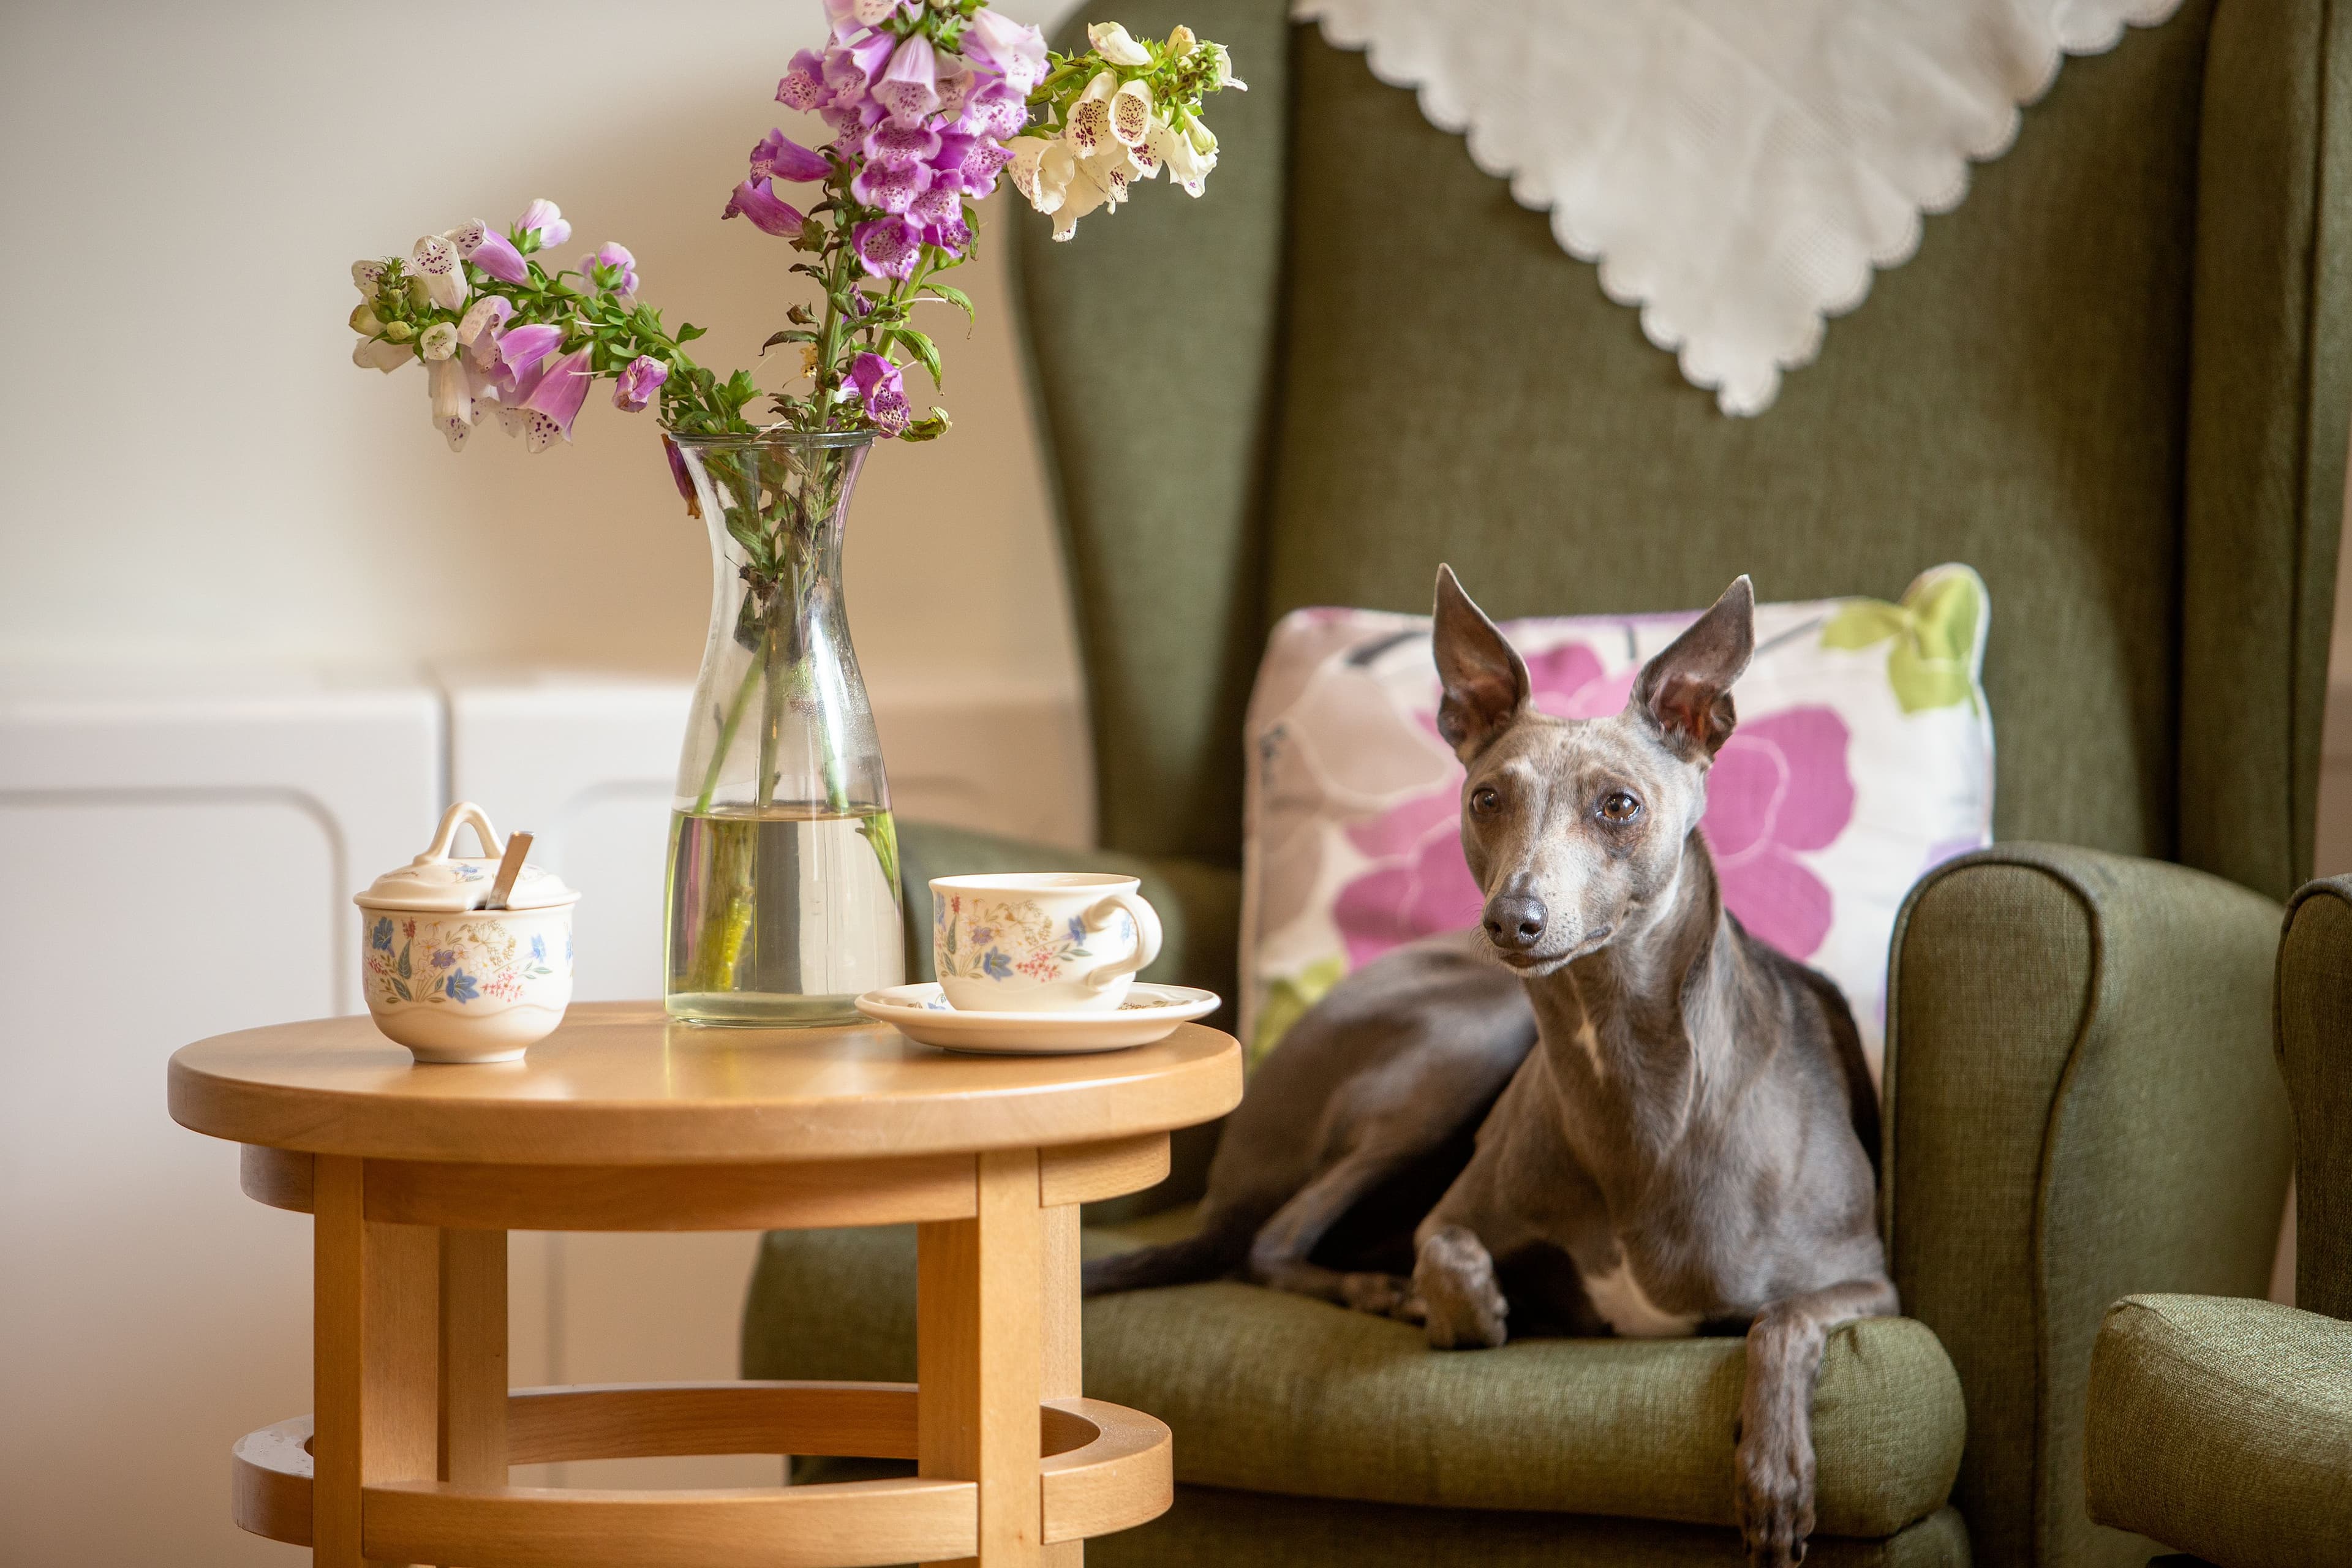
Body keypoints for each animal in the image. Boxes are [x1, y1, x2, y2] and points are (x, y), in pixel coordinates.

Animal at [1082, 571, 1891, 1561]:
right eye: (1488, 799)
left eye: (1619, 805)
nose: (1515, 921)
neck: (1624, 1075)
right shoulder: (1456, 1211)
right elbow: (1450, 1257)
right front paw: (1469, 1308)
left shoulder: (1867, 1280)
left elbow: (1780, 1320)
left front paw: (1776, 1478)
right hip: (1465, 1043)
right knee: (1272, 1238)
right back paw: (1376, 1287)